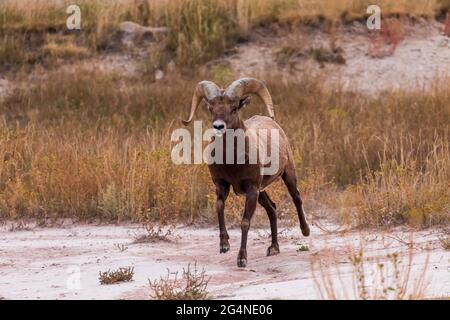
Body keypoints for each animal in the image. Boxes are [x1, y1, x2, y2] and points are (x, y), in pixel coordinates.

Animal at [183, 77, 310, 268]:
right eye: (211, 108)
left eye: (234, 107)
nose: (218, 126)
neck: (233, 161)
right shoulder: (222, 185)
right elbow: (219, 207)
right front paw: (224, 245)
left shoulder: (251, 189)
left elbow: (244, 223)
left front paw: (242, 259)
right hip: (261, 191)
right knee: (272, 209)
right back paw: (273, 248)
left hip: (287, 175)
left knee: (296, 197)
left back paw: (305, 231)